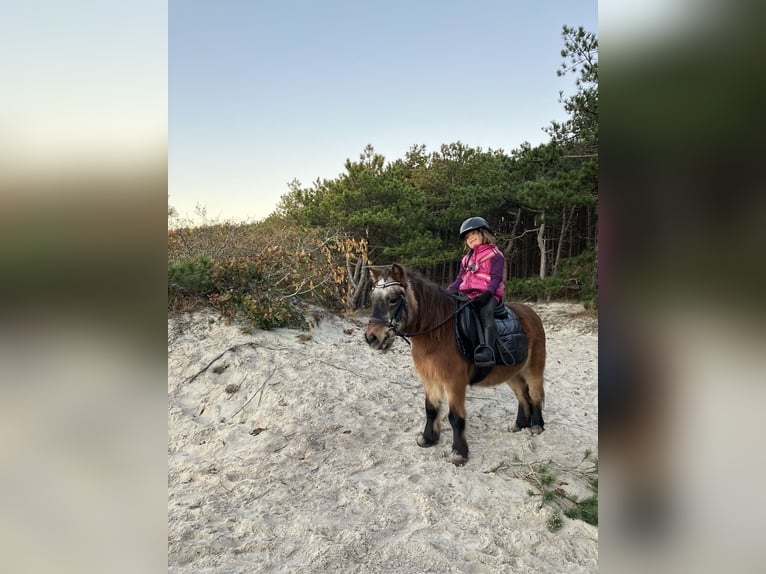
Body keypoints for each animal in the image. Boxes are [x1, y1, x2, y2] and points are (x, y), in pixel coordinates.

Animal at [364, 266, 544, 468]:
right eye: (373, 298)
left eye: (393, 299)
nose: (372, 338)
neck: (438, 333)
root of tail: (532, 314)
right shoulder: (429, 379)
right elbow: (431, 409)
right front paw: (428, 438)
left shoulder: (454, 382)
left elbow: (456, 418)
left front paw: (459, 452)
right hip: (512, 372)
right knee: (522, 394)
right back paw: (520, 424)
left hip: (534, 368)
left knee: (535, 394)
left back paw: (537, 425)